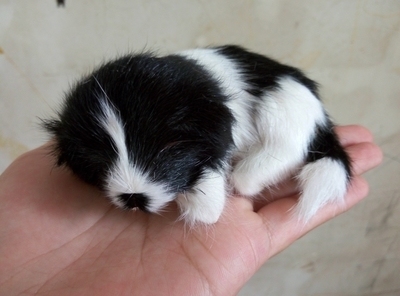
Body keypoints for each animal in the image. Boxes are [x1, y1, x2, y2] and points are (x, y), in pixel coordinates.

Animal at [42, 44, 352, 224]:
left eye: (168, 149)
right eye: (97, 160)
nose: (133, 196)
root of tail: (320, 114)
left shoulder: (217, 126)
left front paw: (199, 202)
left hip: (284, 102)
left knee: (285, 147)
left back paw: (248, 175)